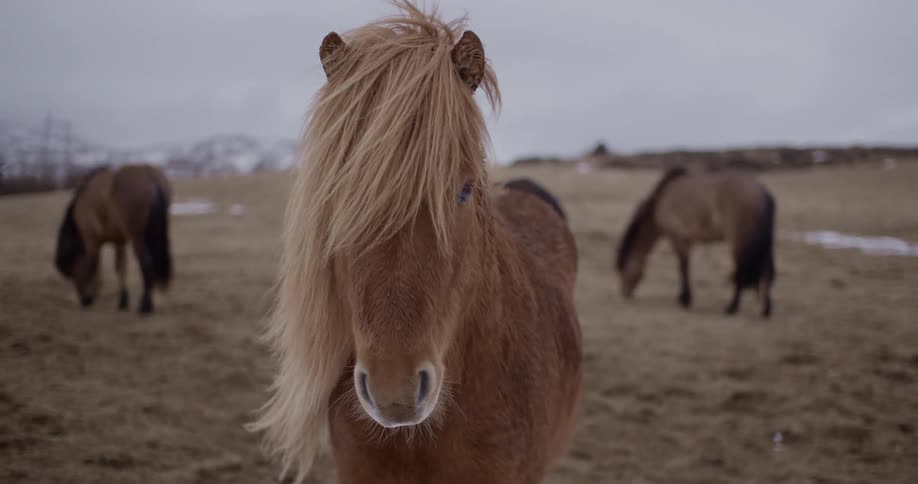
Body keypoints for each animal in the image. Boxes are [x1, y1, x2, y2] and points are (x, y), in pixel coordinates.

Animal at [54, 164, 173, 314]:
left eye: (73, 272)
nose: (85, 300)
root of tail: (150, 176)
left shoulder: (91, 241)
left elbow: (94, 265)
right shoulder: (119, 241)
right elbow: (120, 267)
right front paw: (123, 300)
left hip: (137, 237)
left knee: (146, 263)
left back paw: (145, 305)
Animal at [616, 167, 776, 317]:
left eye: (623, 269)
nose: (624, 293)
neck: (662, 200)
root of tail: (763, 193)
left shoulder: (677, 238)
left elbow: (682, 267)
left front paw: (685, 299)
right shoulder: (686, 240)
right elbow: (685, 266)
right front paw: (682, 297)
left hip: (739, 243)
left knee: (741, 272)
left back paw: (731, 307)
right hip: (765, 245)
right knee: (766, 271)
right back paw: (765, 310)